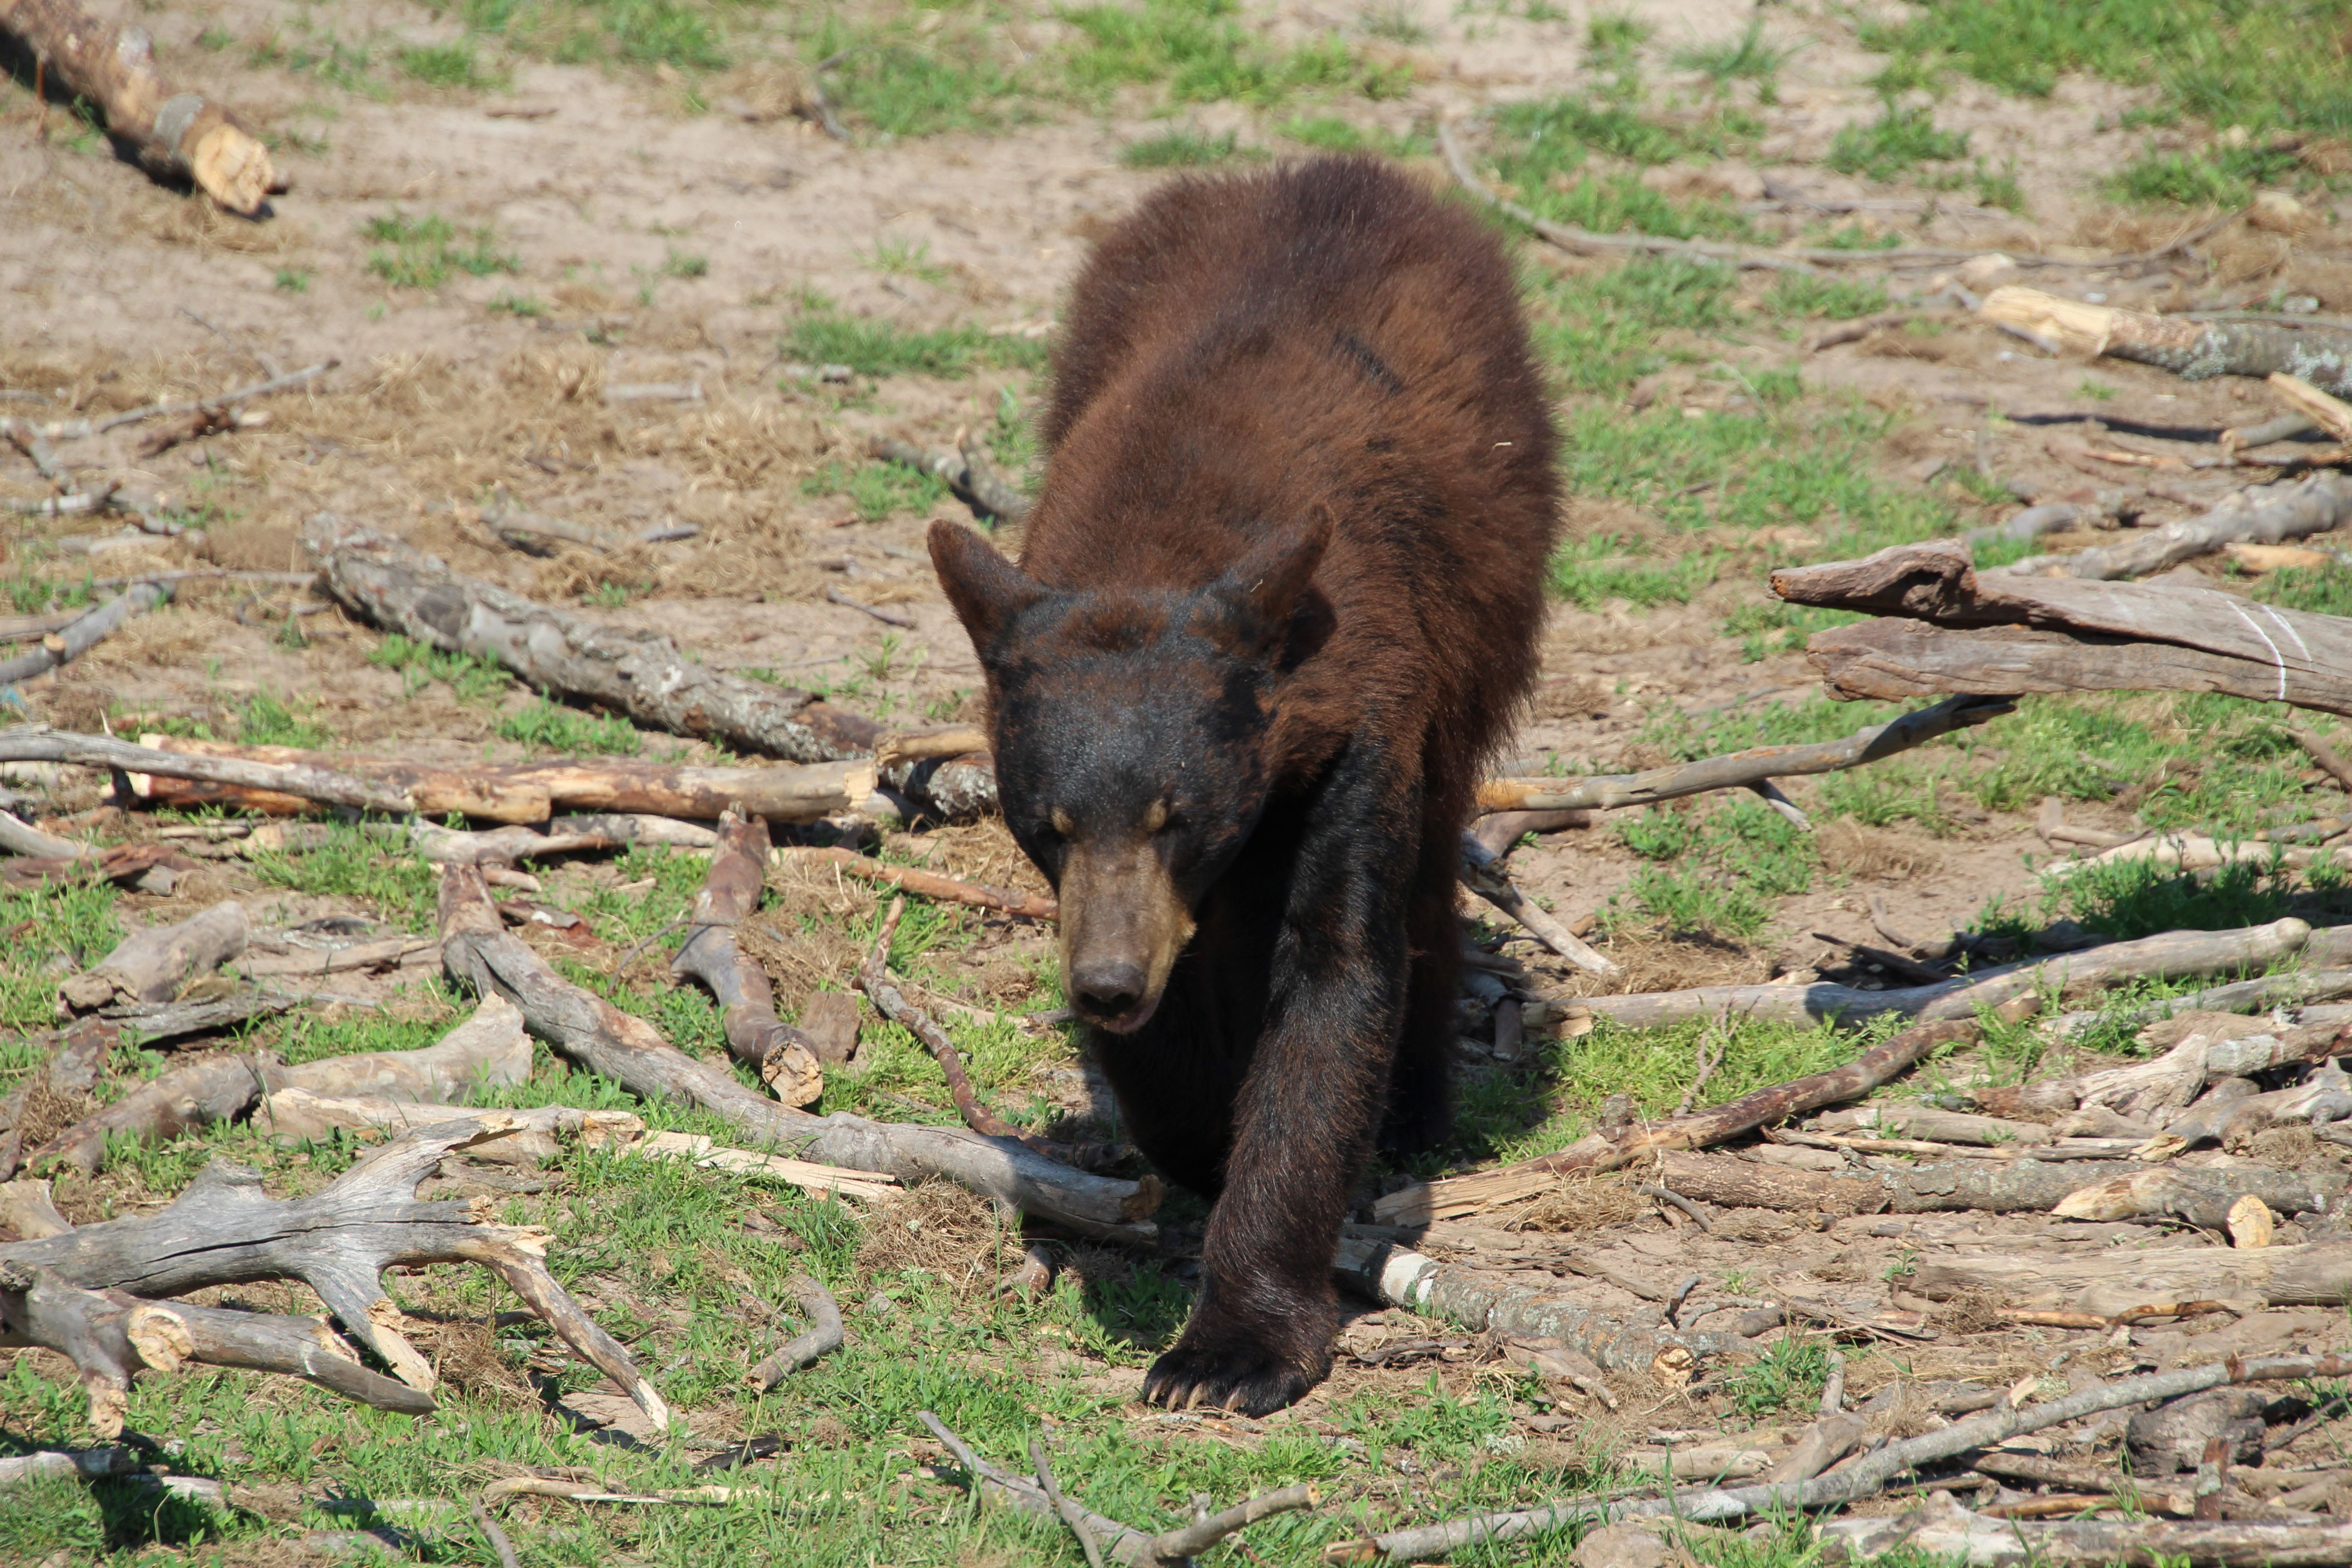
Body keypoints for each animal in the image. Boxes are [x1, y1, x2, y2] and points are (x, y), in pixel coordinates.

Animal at [928, 154, 1559, 1415]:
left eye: (1179, 815)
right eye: (1047, 824)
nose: (1107, 984)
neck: (1162, 536)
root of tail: (1327, 169)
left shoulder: (1356, 721)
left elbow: (1333, 980)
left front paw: (1231, 1349)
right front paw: (1194, 1125)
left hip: (1482, 622)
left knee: (1426, 867)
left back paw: (1417, 1107)